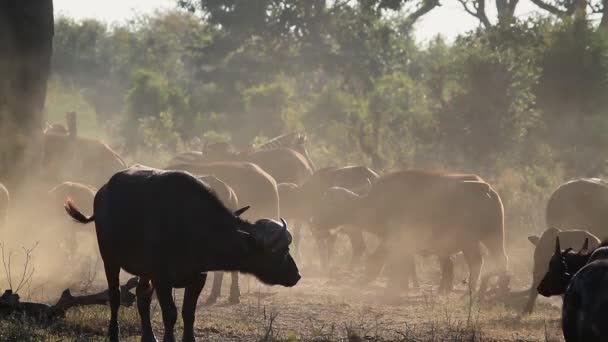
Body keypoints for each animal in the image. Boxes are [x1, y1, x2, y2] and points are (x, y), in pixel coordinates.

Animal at [64, 166, 300, 342]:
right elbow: (170, 314)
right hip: (109, 260)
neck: (194, 228)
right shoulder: (162, 278)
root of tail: (101, 195)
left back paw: (149, 337)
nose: (296, 275)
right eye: (281, 251)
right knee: (114, 297)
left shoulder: (198, 277)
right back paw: (114, 335)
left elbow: (188, 313)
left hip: (143, 271)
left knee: (142, 295)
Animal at [312, 170, 506, 292]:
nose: (315, 223)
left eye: (330, 204)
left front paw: (389, 285)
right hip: (494, 237)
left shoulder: (396, 241)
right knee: (501, 260)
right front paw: (404, 286)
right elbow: (404, 264)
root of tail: (486, 189)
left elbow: (385, 261)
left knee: (477, 262)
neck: (377, 202)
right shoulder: (403, 245)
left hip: (471, 241)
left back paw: (472, 289)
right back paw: (501, 287)